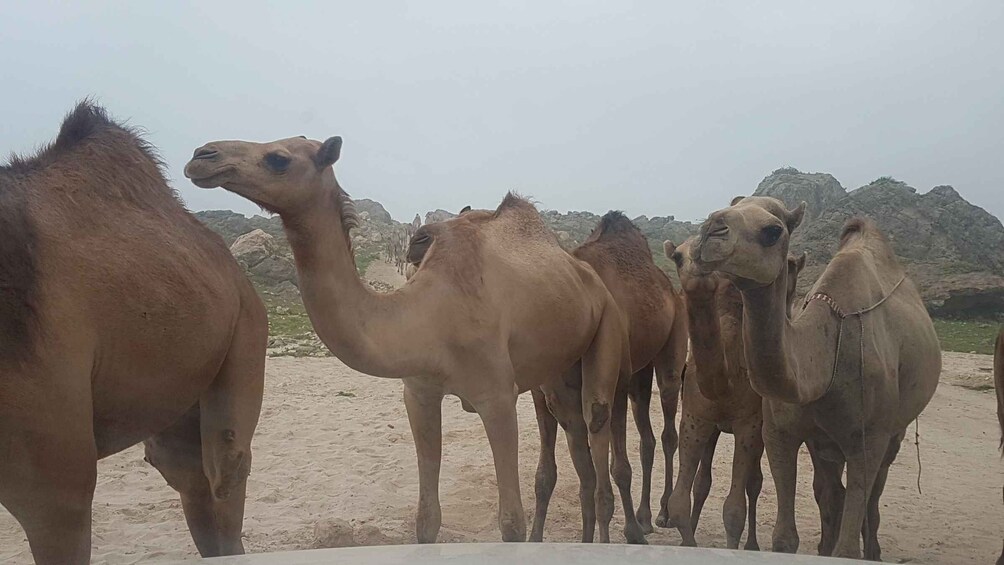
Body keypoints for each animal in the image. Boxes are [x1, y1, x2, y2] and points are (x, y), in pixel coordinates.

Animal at [182, 135, 626, 541]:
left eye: (278, 158)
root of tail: (587, 275)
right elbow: (426, 519)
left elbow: (510, 523)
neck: (428, 316)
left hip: (607, 321)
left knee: (597, 417)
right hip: (557, 369)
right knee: (574, 431)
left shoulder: (497, 396)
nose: (201, 156)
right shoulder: (419, 394)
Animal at [526, 213, 690, 541]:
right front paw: (534, 538)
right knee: (647, 439)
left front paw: (631, 533)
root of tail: (670, 288)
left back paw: (664, 513)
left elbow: (619, 469)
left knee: (668, 431)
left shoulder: (614, 383)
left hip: (670, 350)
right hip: (639, 372)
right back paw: (644, 516)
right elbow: (545, 475)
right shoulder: (544, 394)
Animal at [666, 236, 807, 549]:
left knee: (754, 483)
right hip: (714, 428)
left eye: (792, 264)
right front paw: (686, 542)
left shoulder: (749, 425)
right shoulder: (695, 418)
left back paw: (752, 543)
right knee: (704, 482)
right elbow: (679, 501)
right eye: (677, 256)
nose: (698, 271)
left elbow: (734, 508)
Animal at [690, 196, 939, 557]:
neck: (823, 362)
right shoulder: (779, 433)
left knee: (873, 492)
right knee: (831, 491)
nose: (710, 230)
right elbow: (784, 538)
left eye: (772, 231)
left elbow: (847, 546)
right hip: (825, 444)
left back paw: (873, 550)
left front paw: (851, 548)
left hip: (893, 430)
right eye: (731, 205)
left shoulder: (868, 437)